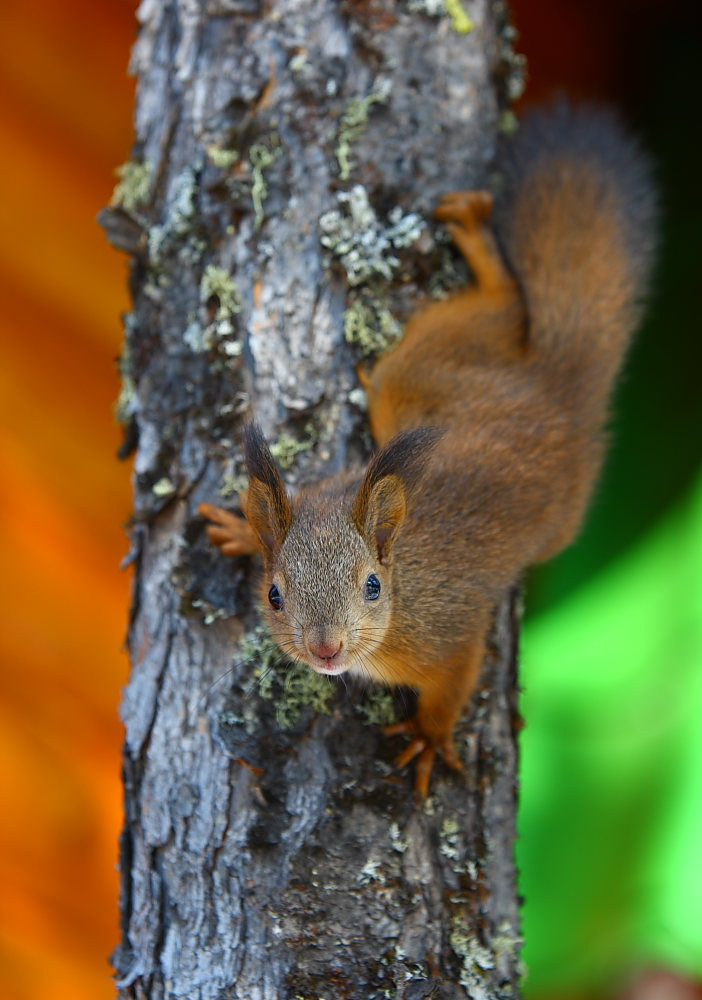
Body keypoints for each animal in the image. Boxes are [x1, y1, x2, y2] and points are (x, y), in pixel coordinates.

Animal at [200, 103, 657, 798]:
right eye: (275, 594)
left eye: (371, 587)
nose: (325, 649)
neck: (402, 586)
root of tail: (555, 384)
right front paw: (238, 529)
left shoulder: (448, 635)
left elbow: (454, 684)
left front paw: (430, 740)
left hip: (424, 379)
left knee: (502, 304)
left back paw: (475, 236)